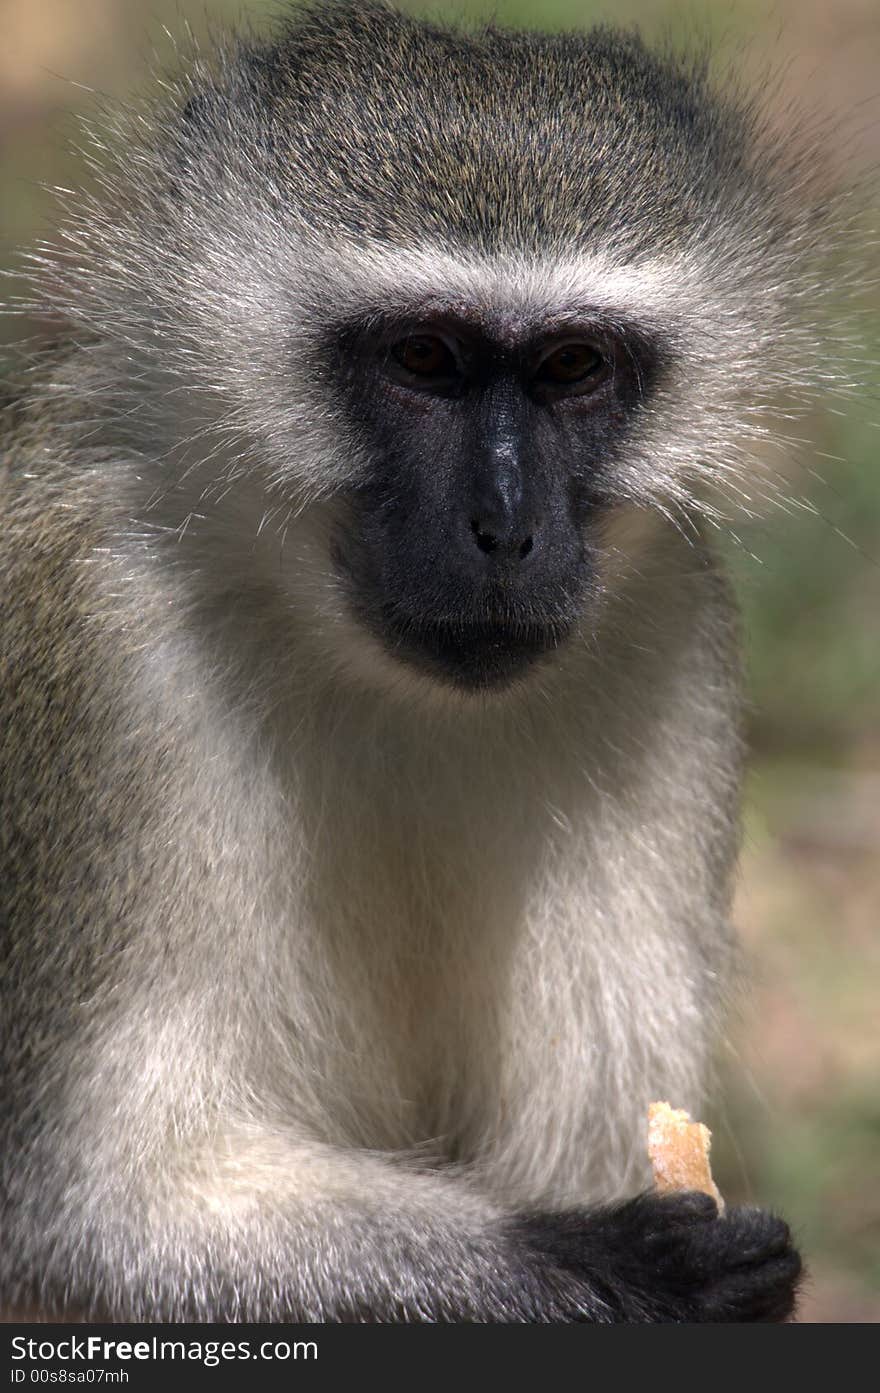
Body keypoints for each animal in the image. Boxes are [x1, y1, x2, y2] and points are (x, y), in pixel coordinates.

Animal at [3, 0, 841, 1320]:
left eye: (572, 367)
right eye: (424, 360)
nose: (503, 527)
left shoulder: (668, 635)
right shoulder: (87, 625)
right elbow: (100, 1210)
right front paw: (619, 1267)